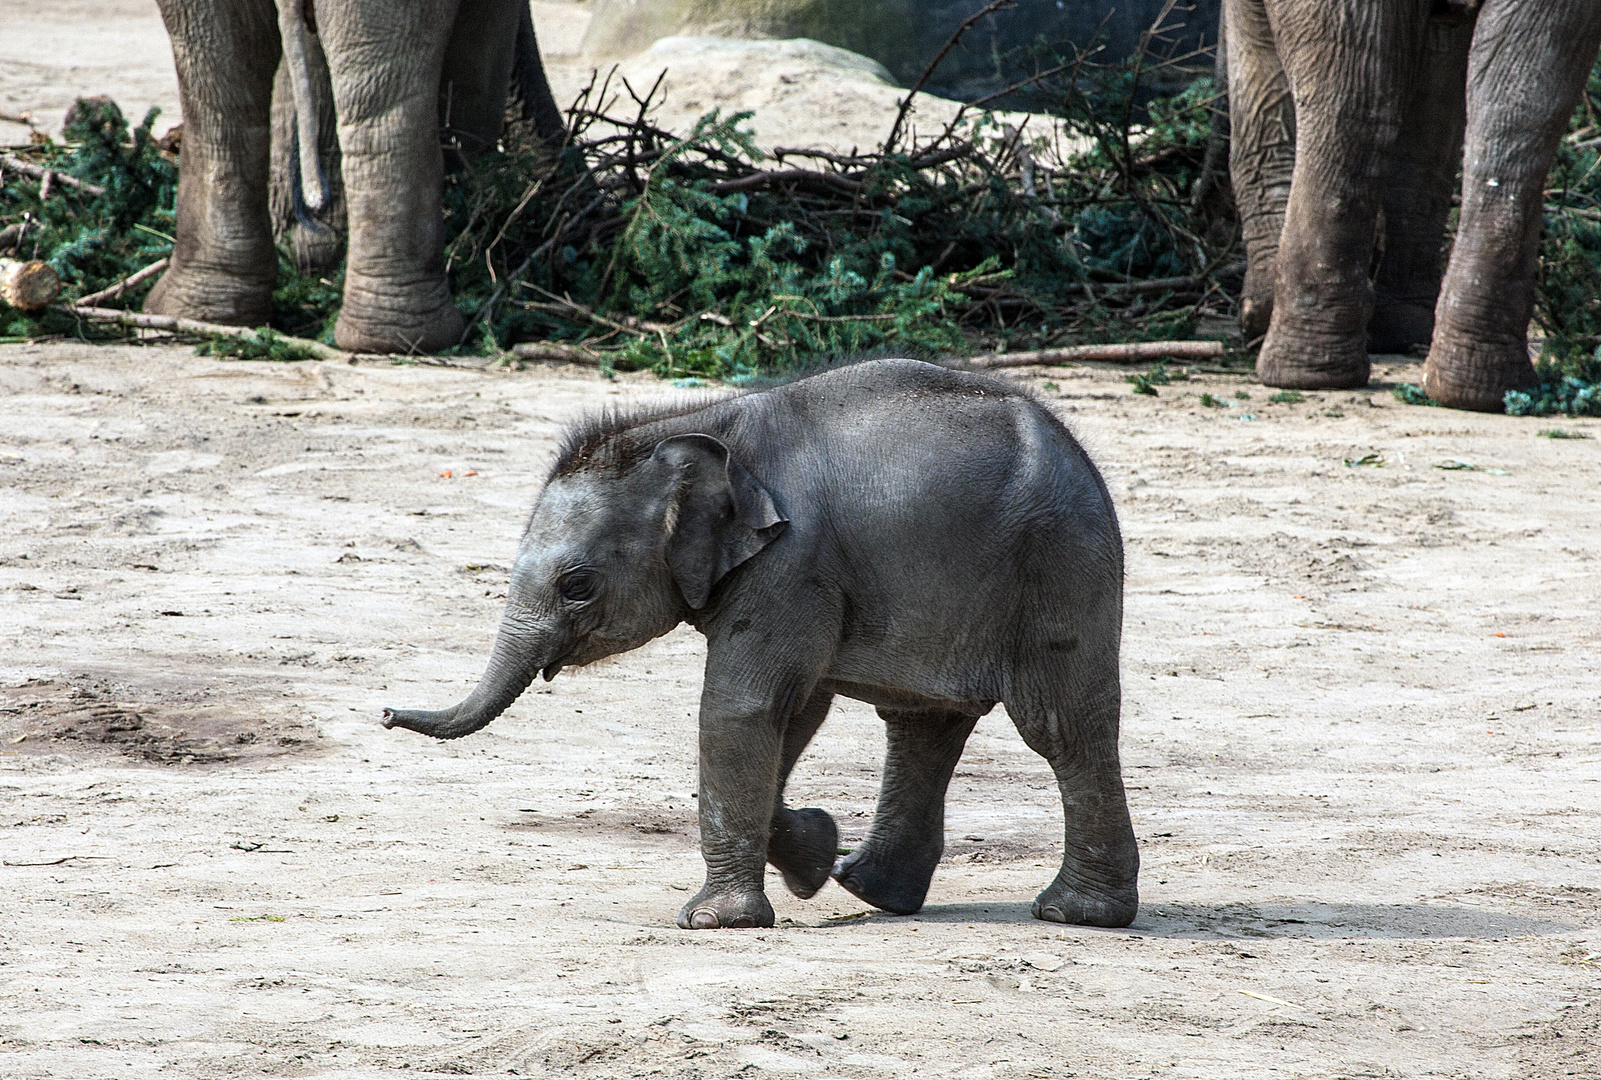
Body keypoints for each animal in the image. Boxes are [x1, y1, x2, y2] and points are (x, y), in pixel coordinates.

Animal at [385, 361, 1139, 928]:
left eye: (577, 586)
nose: (387, 713)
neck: (697, 424)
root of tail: (1076, 448)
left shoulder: (790, 563)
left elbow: (741, 707)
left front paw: (711, 922)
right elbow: (791, 712)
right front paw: (813, 854)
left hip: (1061, 564)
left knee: (1059, 725)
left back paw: (1074, 914)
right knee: (921, 722)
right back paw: (868, 888)